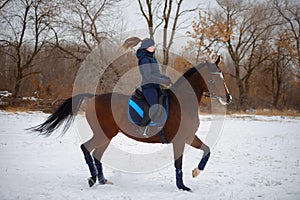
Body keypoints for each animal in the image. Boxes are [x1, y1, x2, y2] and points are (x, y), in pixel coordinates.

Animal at [29, 57, 232, 191]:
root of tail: (93, 98)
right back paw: (93, 179)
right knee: (86, 148)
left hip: (107, 136)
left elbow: (207, 150)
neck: (184, 102)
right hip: (103, 134)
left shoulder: (189, 137)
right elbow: (178, 163)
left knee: (97, 155)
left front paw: (196, 171)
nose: (228, 98)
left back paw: (103, 180)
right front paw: (182, 186)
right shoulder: (180, 140)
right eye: (215, 78)